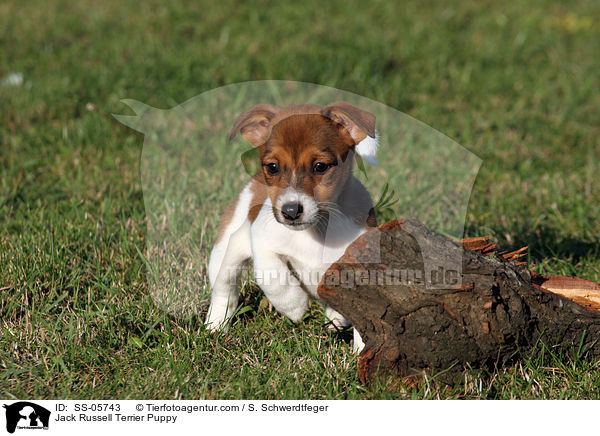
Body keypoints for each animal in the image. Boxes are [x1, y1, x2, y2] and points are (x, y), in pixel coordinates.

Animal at [204, 101, 378, 350]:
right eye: (273, 167)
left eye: (320, 166)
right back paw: (215, 327)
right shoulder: (260, 238)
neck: (315, 231)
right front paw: (293, 306)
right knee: (224, 290)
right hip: (226, 252)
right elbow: (271, 274)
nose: (291, 211)